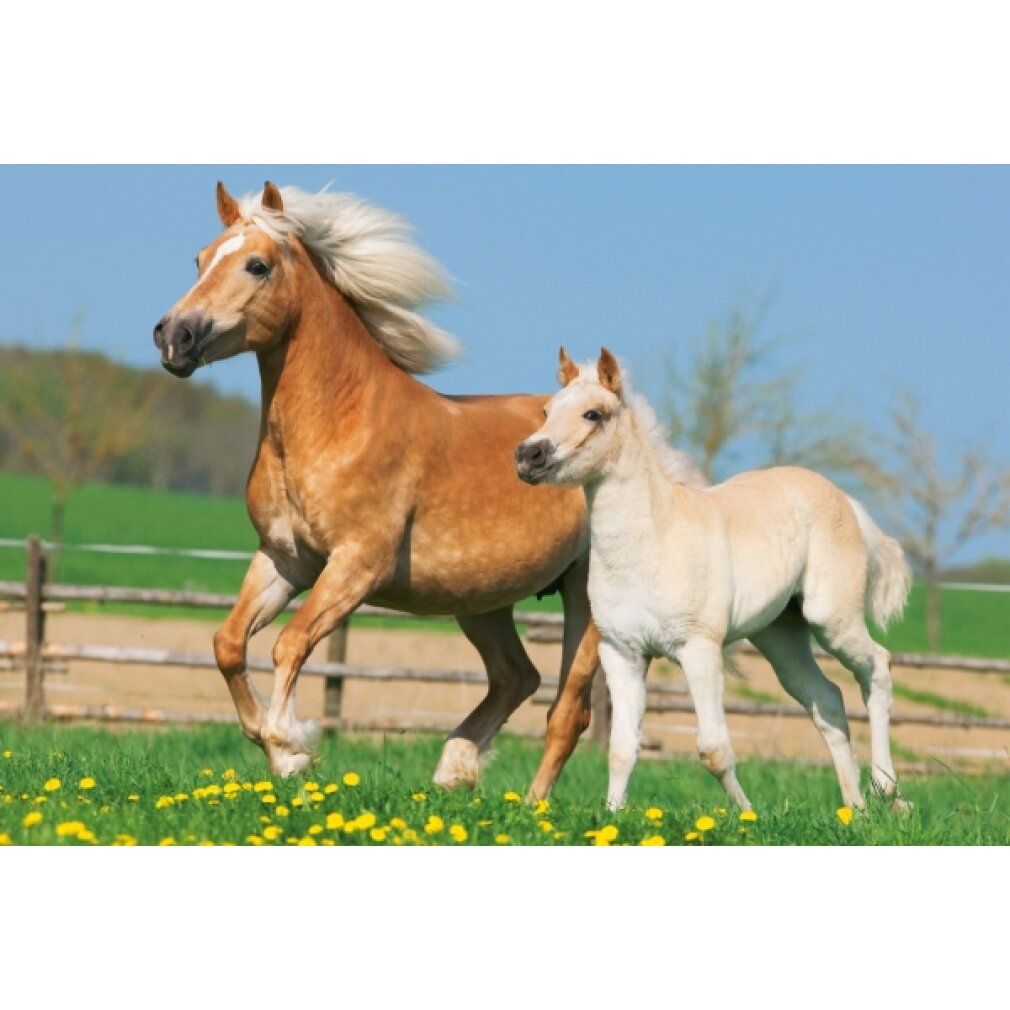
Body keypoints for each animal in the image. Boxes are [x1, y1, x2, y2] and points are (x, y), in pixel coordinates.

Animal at [153, 180, 607, 789]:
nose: (173, 337)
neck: (338, 423)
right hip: (482, 599)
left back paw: (529, 799)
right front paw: (281, 751)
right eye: (200, 259)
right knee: (517, 678)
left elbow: (290, 644)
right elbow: (228, 643)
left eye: (257, 265)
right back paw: (453, 772)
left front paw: (291, 745)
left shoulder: (356, 565)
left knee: (567, 711)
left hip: (585, 594)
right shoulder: (283, 559)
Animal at [516, 347, 912, 811]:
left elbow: (713, 748)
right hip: (781, 636)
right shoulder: (622, 653)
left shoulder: (699, 650)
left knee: (878, 669)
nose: (529, 456)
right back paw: (856, 809)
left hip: (832, 619)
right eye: (547, 410)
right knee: (827, 701)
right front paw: (612, 815)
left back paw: (888, 791)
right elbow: (622, 748)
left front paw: (747, 815)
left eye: (593, 413)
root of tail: (845, 500)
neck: (653, 543)